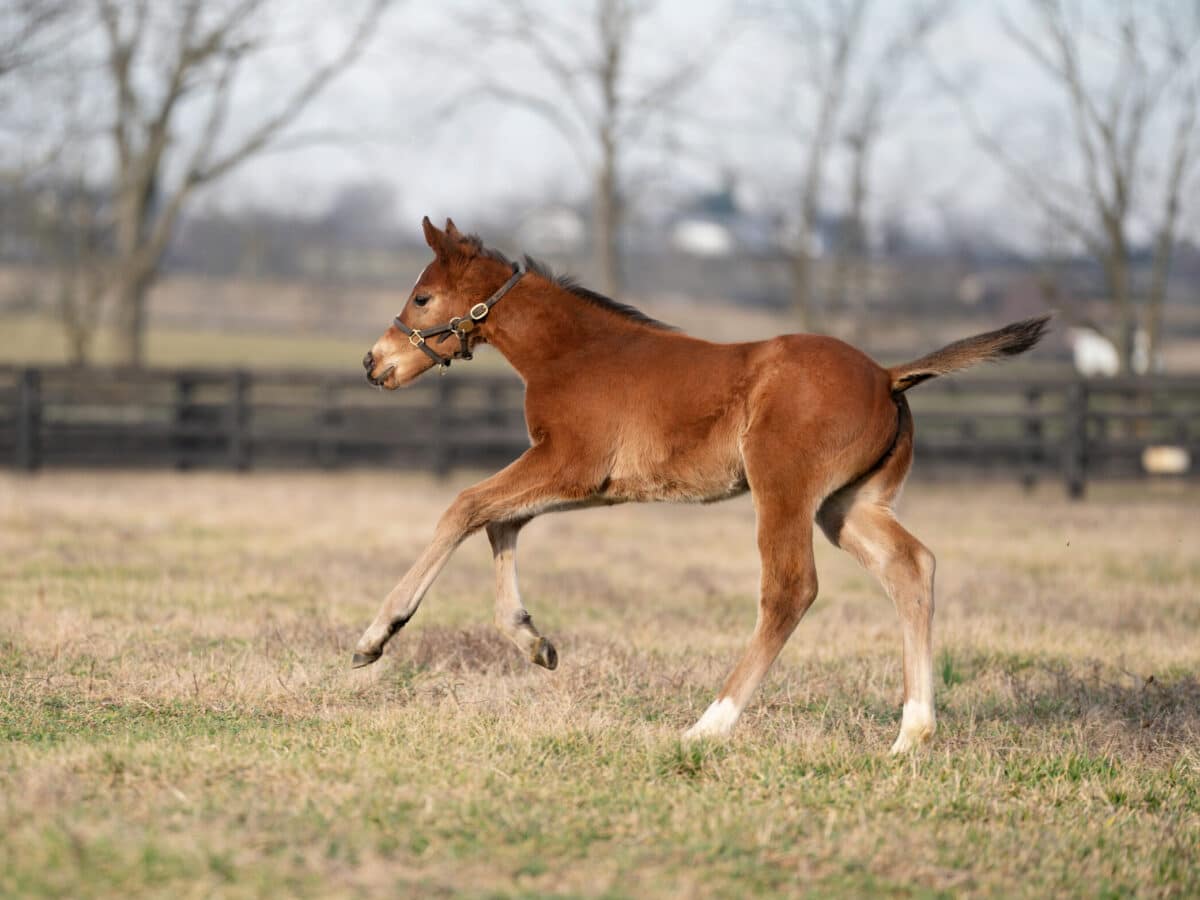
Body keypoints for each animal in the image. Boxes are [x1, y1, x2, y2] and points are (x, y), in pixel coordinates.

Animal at [355, 218, 1051, 753]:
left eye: (422, 298)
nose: (373, 362)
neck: (574, 352)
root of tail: (887, 374)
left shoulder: (570, 462)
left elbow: (465, 505)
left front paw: (378, 634)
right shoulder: (588, 481)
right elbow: (501, 518)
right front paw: (533, 641)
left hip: (784, 488)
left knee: (791, 589)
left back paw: (709, 726)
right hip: (849, 506)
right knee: (912, 566)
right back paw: (911, 735)